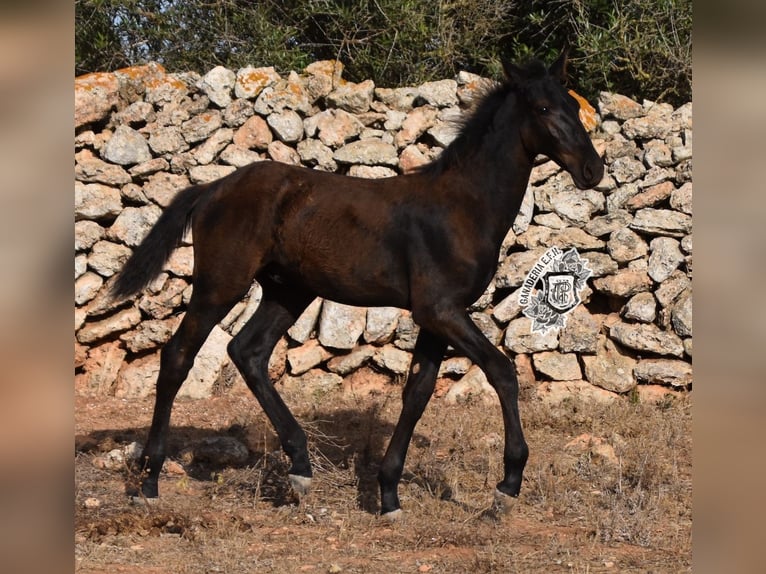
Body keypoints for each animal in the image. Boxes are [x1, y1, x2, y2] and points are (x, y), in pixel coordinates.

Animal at [112, 50, 608, 520]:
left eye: (574, 106)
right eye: (543, 108)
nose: (593, 170)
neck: (462, 206)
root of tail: (212, 188)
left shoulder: (436, 316)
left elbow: (417, 392)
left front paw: (388, 494)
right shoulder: (441, 310)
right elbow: (502, 371)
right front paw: (506, 487)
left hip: (288, 291)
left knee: (248, 351)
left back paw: (300, 469)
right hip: (220, 283)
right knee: (178, 356)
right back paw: (149, 482)